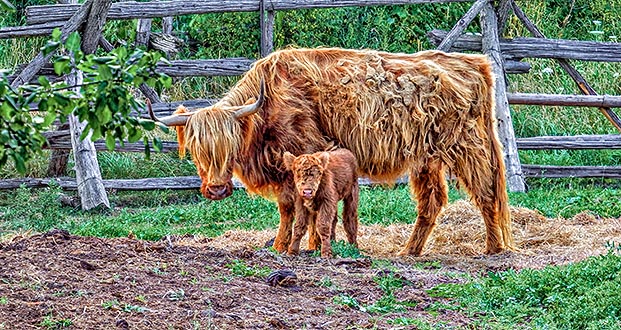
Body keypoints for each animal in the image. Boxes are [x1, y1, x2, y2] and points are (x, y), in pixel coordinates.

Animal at [149, 47, 512, 256]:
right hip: (427, 157)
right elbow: (292, 209)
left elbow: (294, 207)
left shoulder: (303, 154)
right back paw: (409, 252)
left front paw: (295, 246)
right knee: (432, 202)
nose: (216, 189)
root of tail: (473, 63)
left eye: (229, 145)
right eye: (197, 150)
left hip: (468, 146)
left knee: (486, 193)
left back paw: (493, 249)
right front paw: (289, 245)